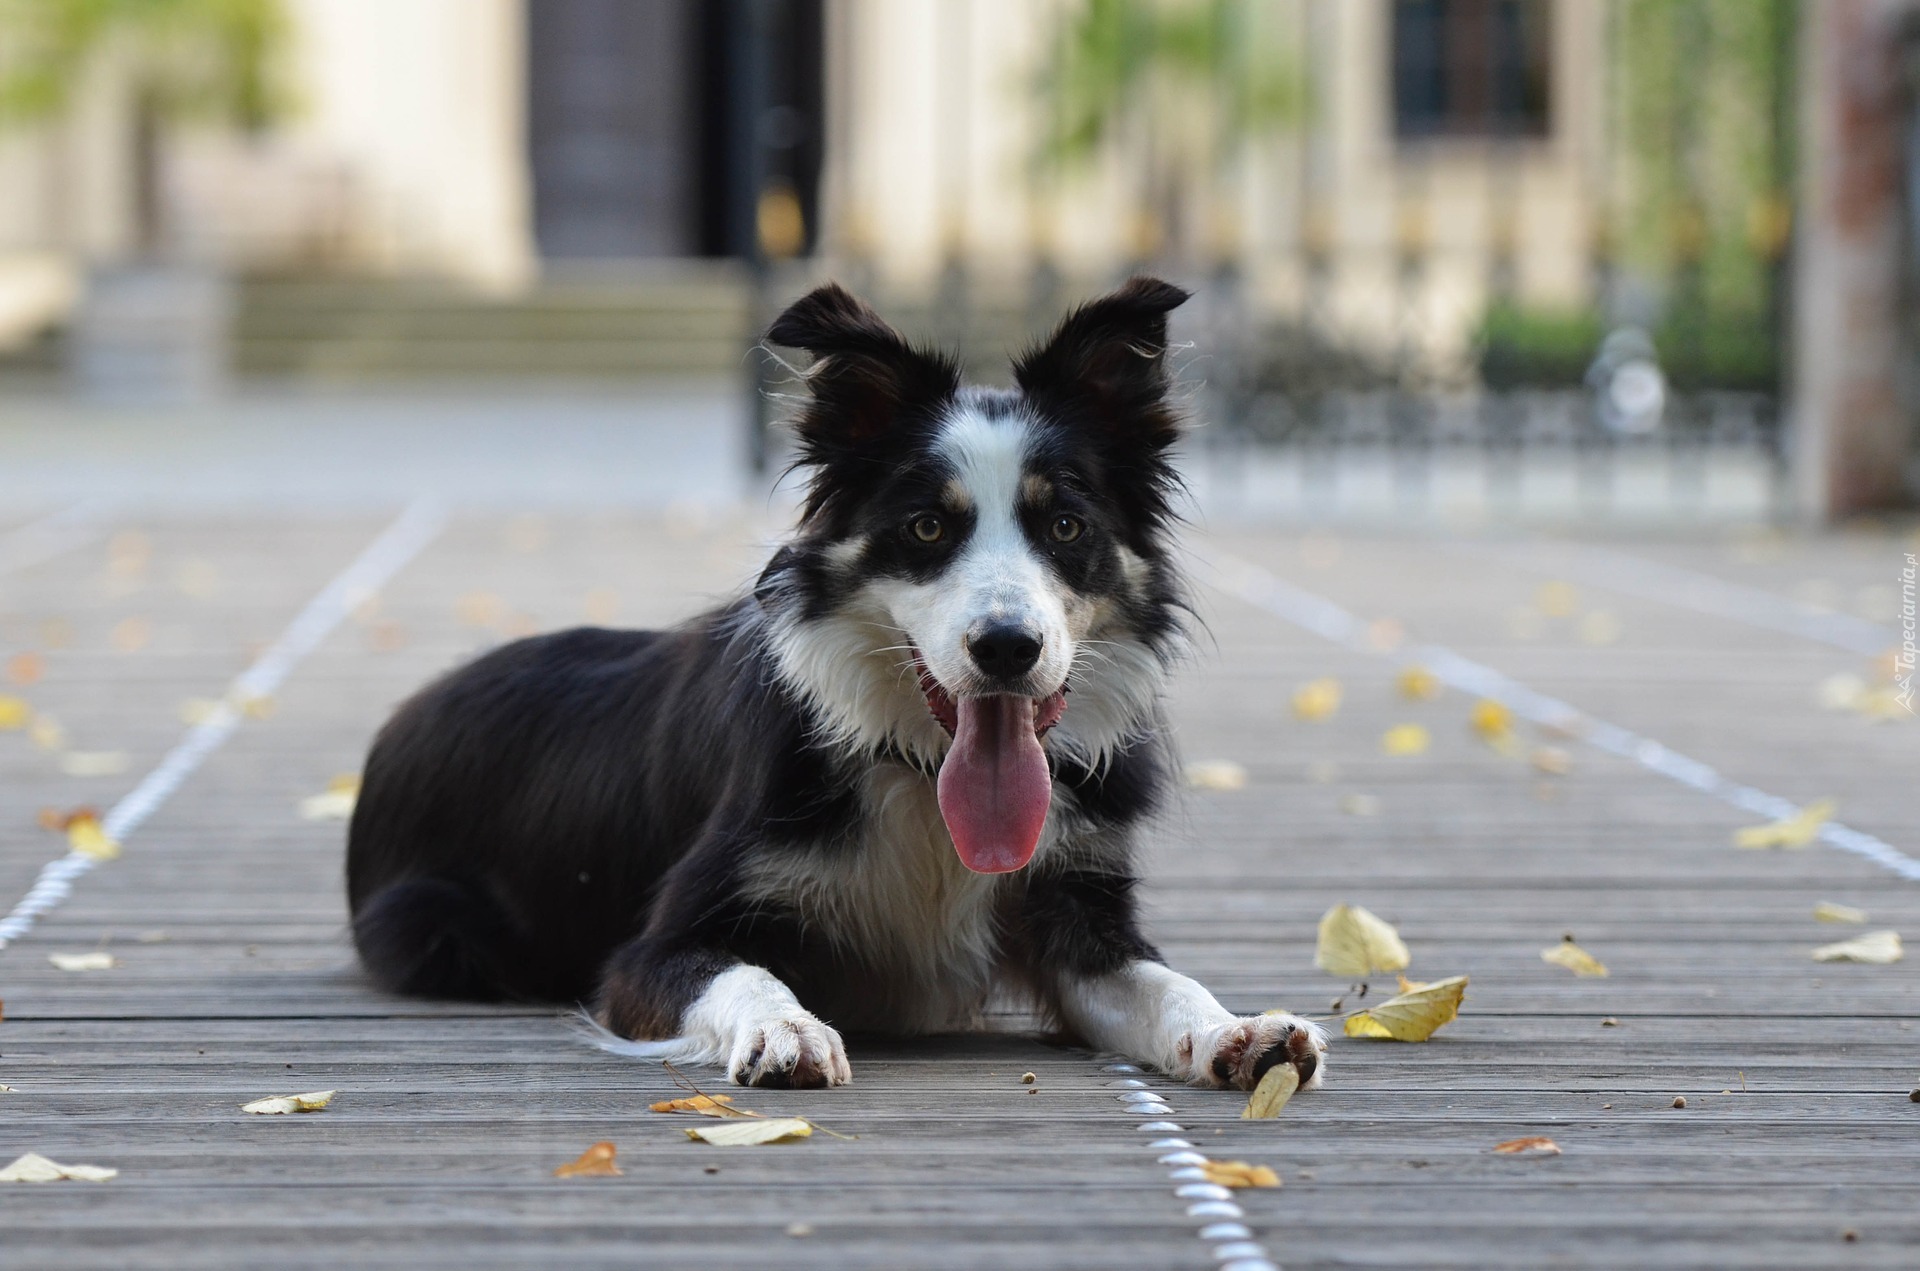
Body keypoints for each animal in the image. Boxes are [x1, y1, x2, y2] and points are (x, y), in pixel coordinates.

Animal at [345, 278, 1328, 1098]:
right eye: (926, 526)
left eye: (1065, 525)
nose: (1007, 647)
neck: (921, 778)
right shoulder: (654, 947)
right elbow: (744, 971)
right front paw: (787, 1029)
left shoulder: (1078, 906)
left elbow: (1164, 980)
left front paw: (1239, 1029)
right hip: (435, 926)